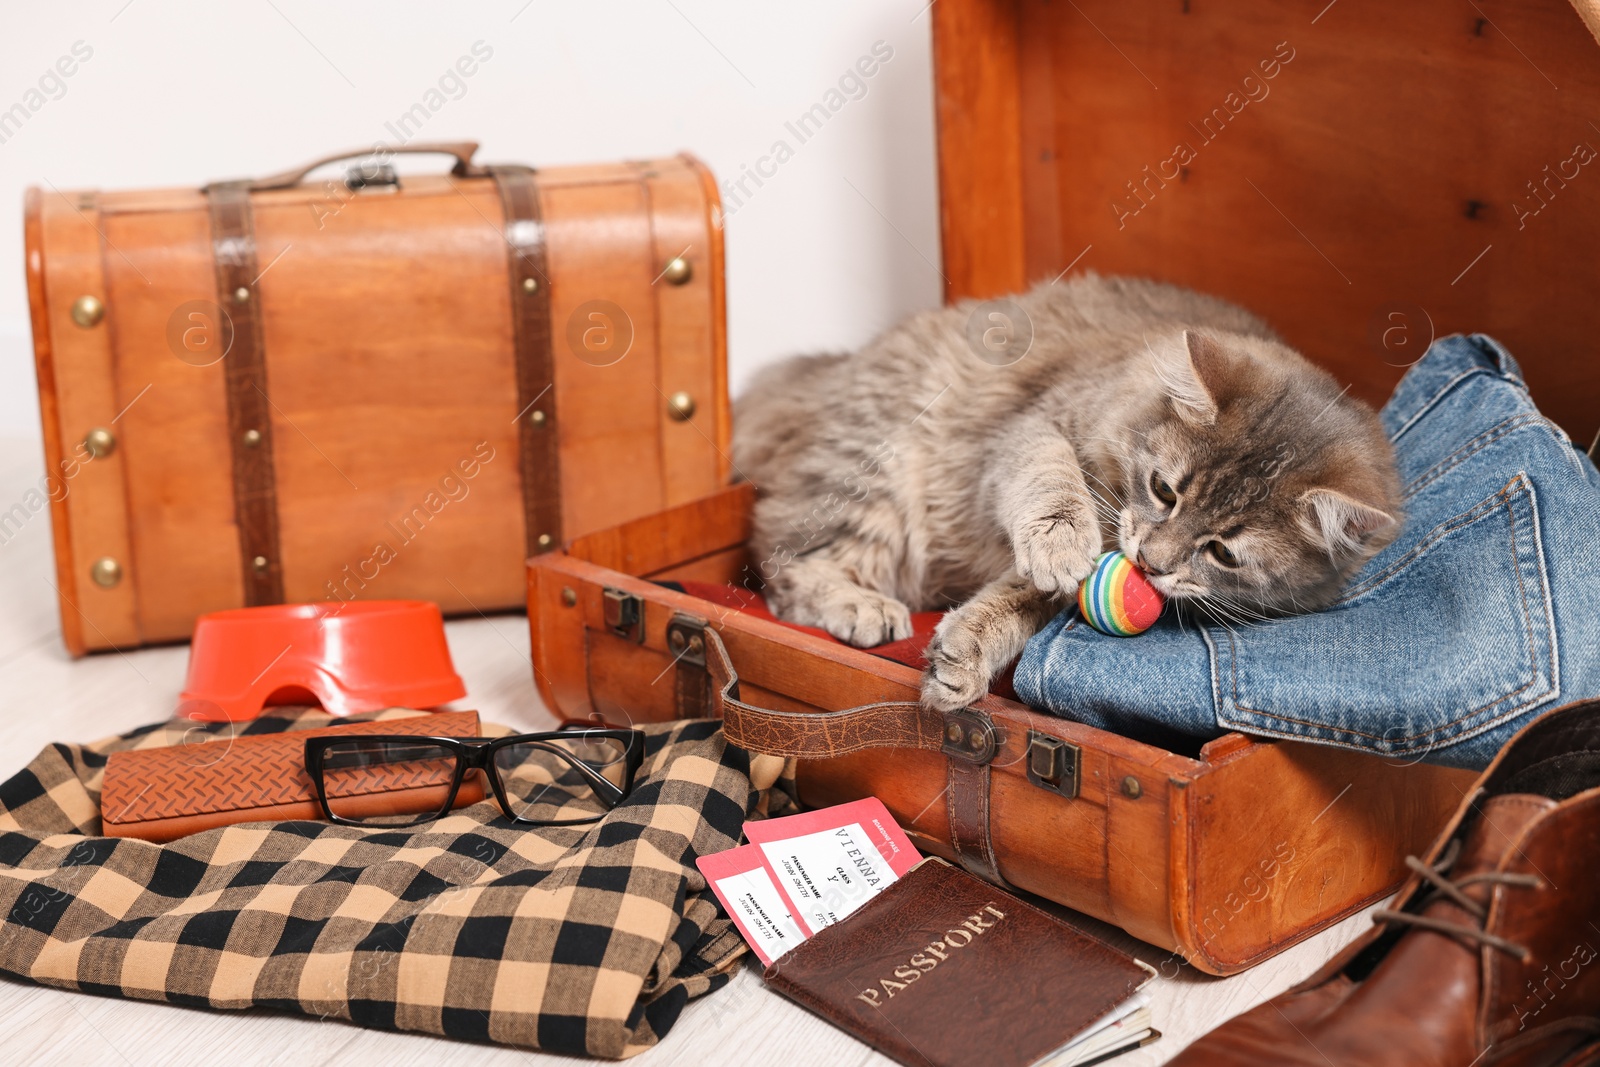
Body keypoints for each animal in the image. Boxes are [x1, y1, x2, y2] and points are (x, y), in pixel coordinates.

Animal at [736, 275, 1401, 710]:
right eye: (1164, 491)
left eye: (1223, 553)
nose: (1149, 562)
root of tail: (829, 372)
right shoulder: (1031, 429)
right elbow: (1052, 482)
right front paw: (1061, 540)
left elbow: (1013, 604)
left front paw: (964, 657)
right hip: (877, 480)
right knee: (784, 569)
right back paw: (861, 607)